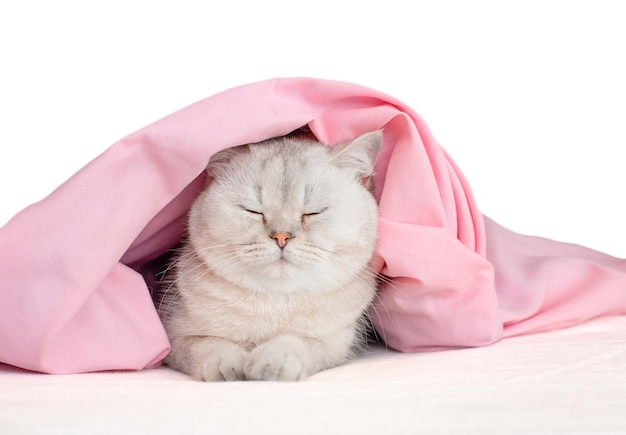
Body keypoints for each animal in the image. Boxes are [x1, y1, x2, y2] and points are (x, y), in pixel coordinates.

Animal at [154, 129, 382, 382]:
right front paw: (227, 367)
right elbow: (207, 344)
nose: (281, 237)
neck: (274, 302)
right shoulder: (174, 337)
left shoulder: (334, 343)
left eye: (313, 213)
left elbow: (297, 342)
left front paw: (271, 363)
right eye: (253, 210)